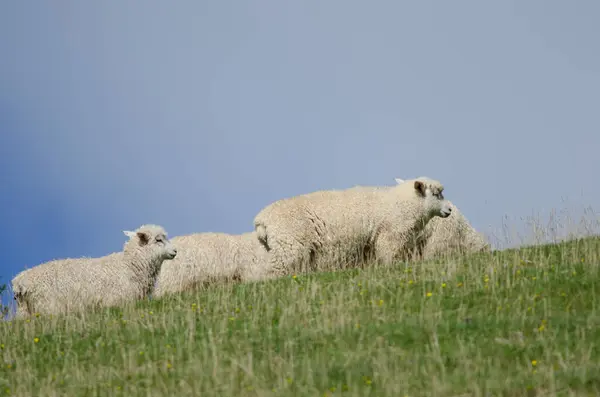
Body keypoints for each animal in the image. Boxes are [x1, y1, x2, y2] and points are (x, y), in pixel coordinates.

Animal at [11, 224, 177, 318]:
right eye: (158, 240)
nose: (175, 251)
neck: (129, 266)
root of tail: (20, 281)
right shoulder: (116, 303)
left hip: (25, 311)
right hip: (47, 308)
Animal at [251, 175, 452, 276]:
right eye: (436, 194)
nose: (449, 209)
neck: (401, 202)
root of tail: (261, 219)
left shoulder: (370, 243)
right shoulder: (389, 236)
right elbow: (389, 258)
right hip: (289, 247)